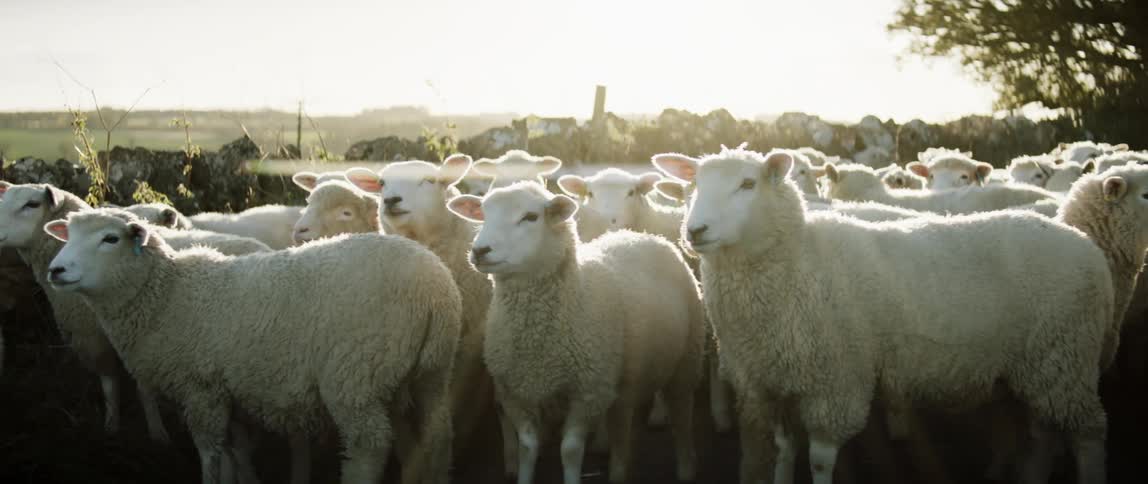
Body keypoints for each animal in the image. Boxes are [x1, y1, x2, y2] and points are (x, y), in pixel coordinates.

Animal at [0, 182, 170, 443]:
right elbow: (111, 384)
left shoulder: (127, 337)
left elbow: (139, 388)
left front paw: (157, 434)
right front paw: (113, 426)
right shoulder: (103, 338)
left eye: (32, 204)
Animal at [44, 209, 462, 484]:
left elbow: (210, 453)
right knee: (437, 437)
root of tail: (436, 291)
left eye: (110, 238)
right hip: (429, 373)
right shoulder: (229, 389)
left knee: (369, 447)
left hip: (356, 375)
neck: (167, 294)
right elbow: (235, 451)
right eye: (67, 236)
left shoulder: (201, 388)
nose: (55, 270)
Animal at [446, 182, 704, 484]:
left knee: (682, 416)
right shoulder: (517, 393)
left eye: (530, 217)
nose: (479, 250)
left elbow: (569, 450)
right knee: (620, 424)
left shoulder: (586, 392)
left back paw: (685, 467)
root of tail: (641, 235)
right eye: (483, 214)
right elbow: (527, 447)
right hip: (624, 379)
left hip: (686, 360)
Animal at [652, 146, 1110, 484]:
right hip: (1043, 365)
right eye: (692, 185)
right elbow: (784, 451)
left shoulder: (836, 381)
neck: (800, 260)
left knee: (1089, 434)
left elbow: (819, 459)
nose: (694, 231)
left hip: (1067, 354)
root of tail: (1085, 245)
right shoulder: (774, 380)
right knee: (1045, 434)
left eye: (748, 184)